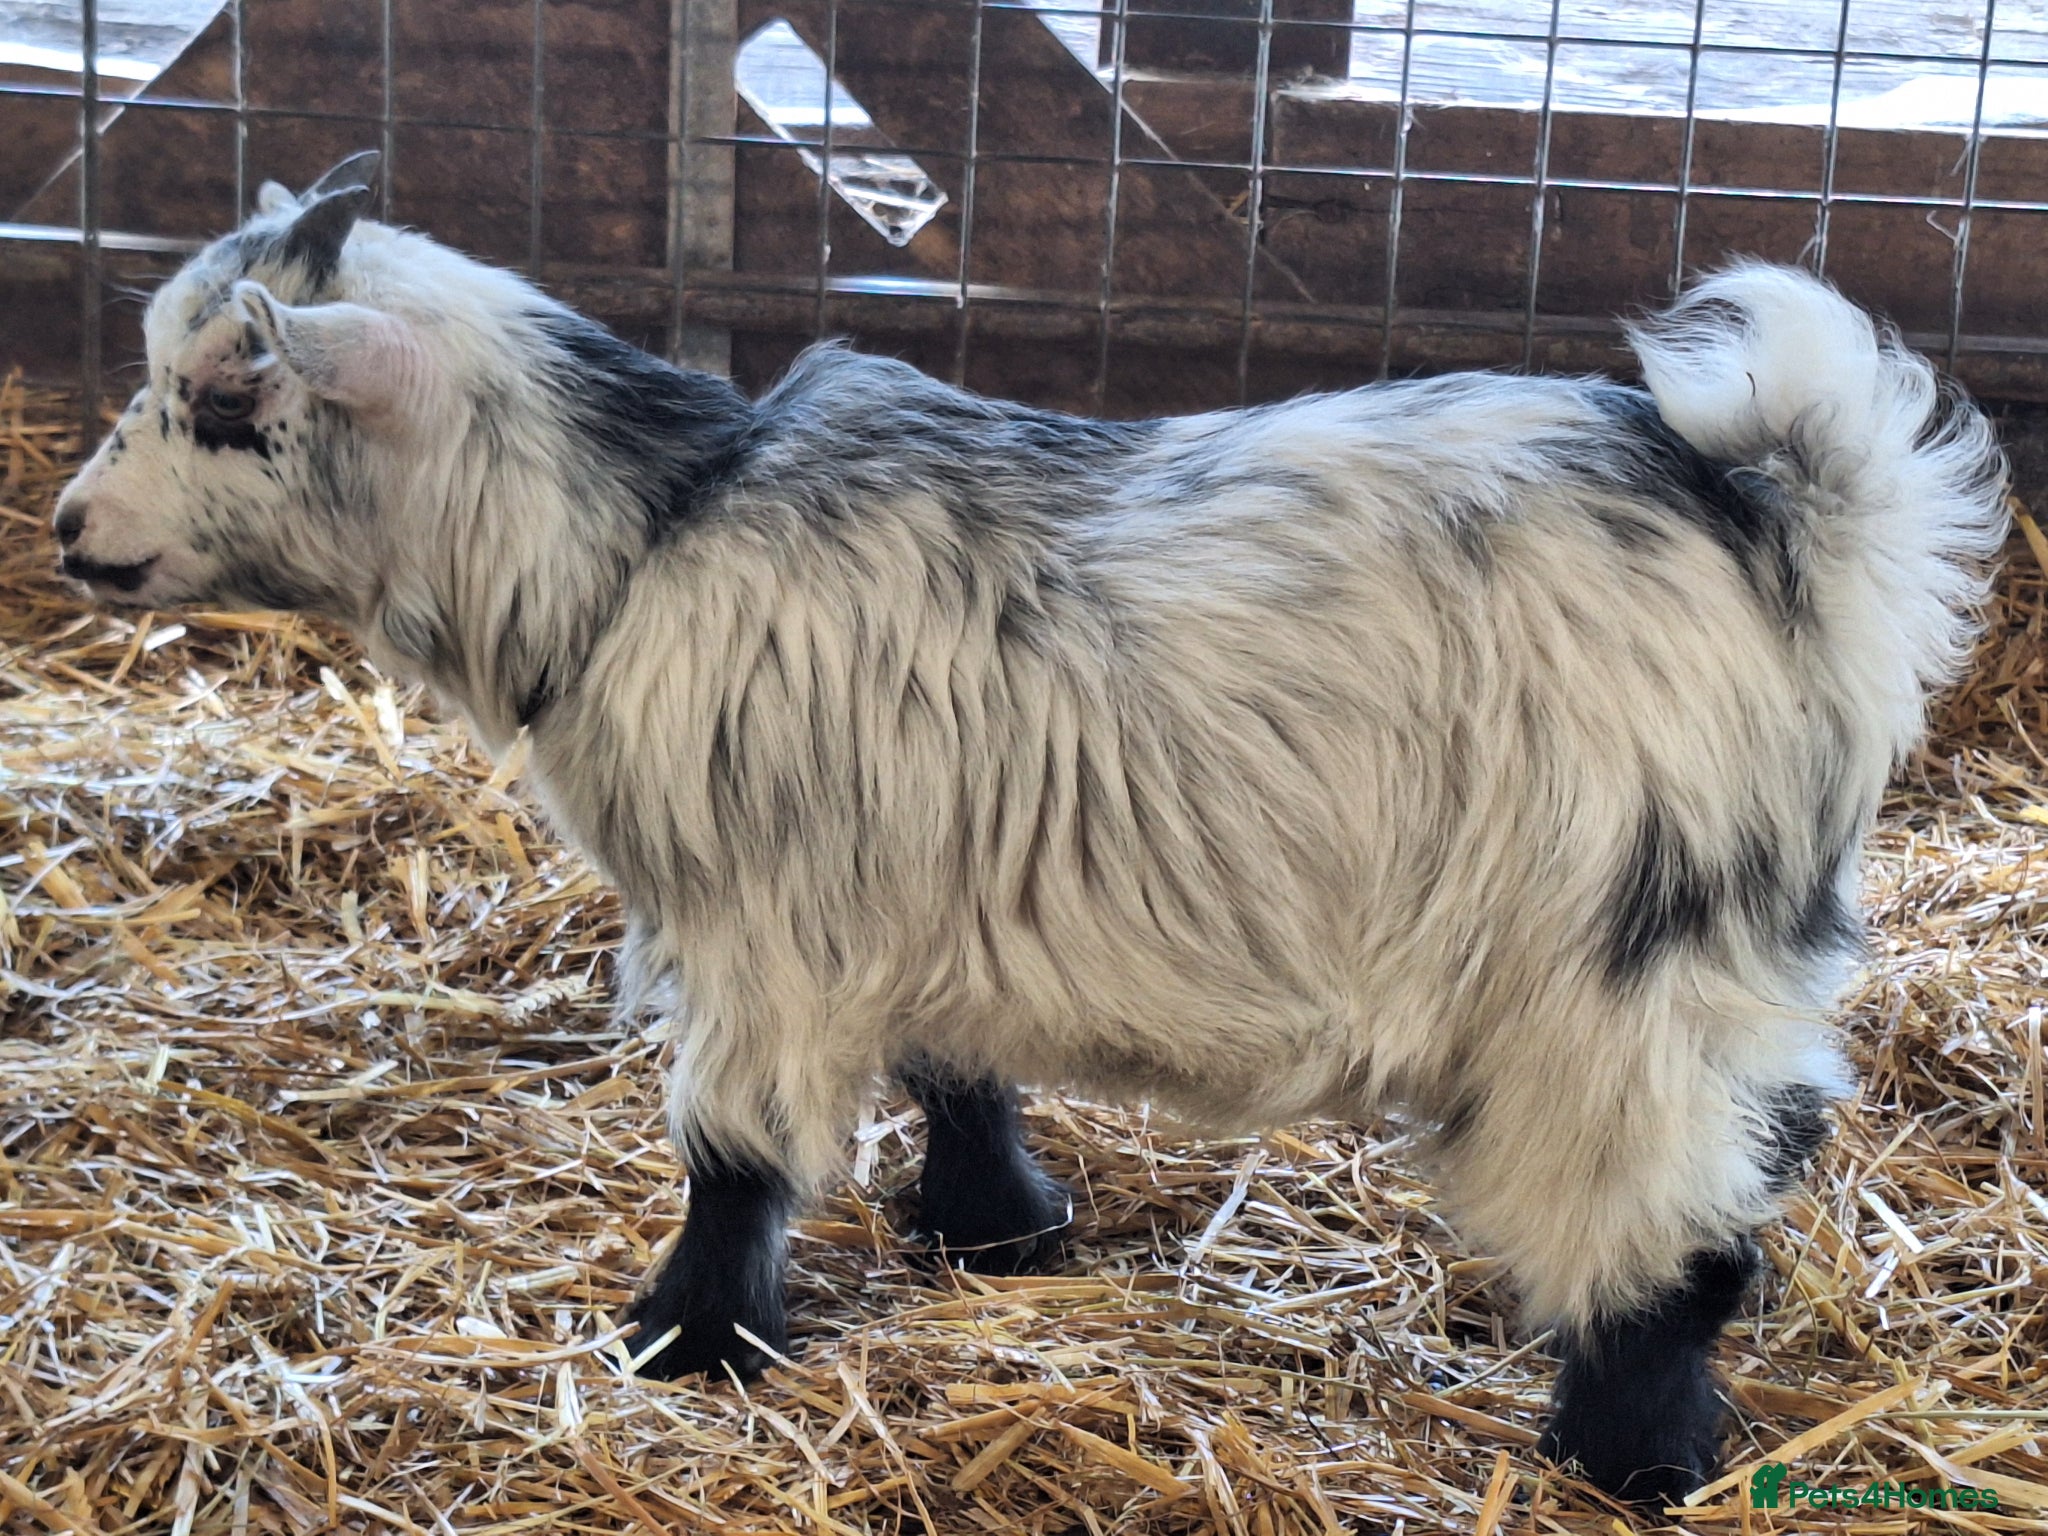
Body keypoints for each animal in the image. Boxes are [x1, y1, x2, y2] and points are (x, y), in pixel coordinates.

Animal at [54, 153, 2007, 1504]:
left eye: (224, 401)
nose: (72, 531)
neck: (640, 537)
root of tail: (1791, 523)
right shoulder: (917, 886)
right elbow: (955, 1063)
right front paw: (996, 1229)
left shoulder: (762, 932)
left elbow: (736, 1158)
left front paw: (685, 1337)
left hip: (1621, 962)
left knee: (1675, 1233)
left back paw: (1631, 1456)